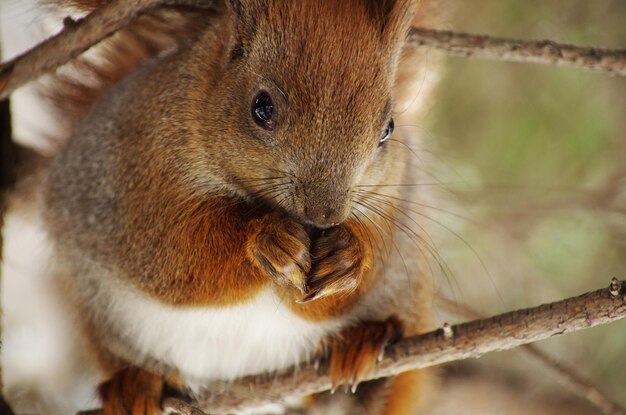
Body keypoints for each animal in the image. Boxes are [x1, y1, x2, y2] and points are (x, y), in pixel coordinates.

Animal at [3, 0, 444, 414]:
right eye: (262, 107)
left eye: (387, 129)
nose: (325, 216)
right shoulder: (138, 181)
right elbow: (179, 256)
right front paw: (267, 239)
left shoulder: (392, 203)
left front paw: (348, 256)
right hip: (100, 316)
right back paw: (135, 384)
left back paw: (364, 345)